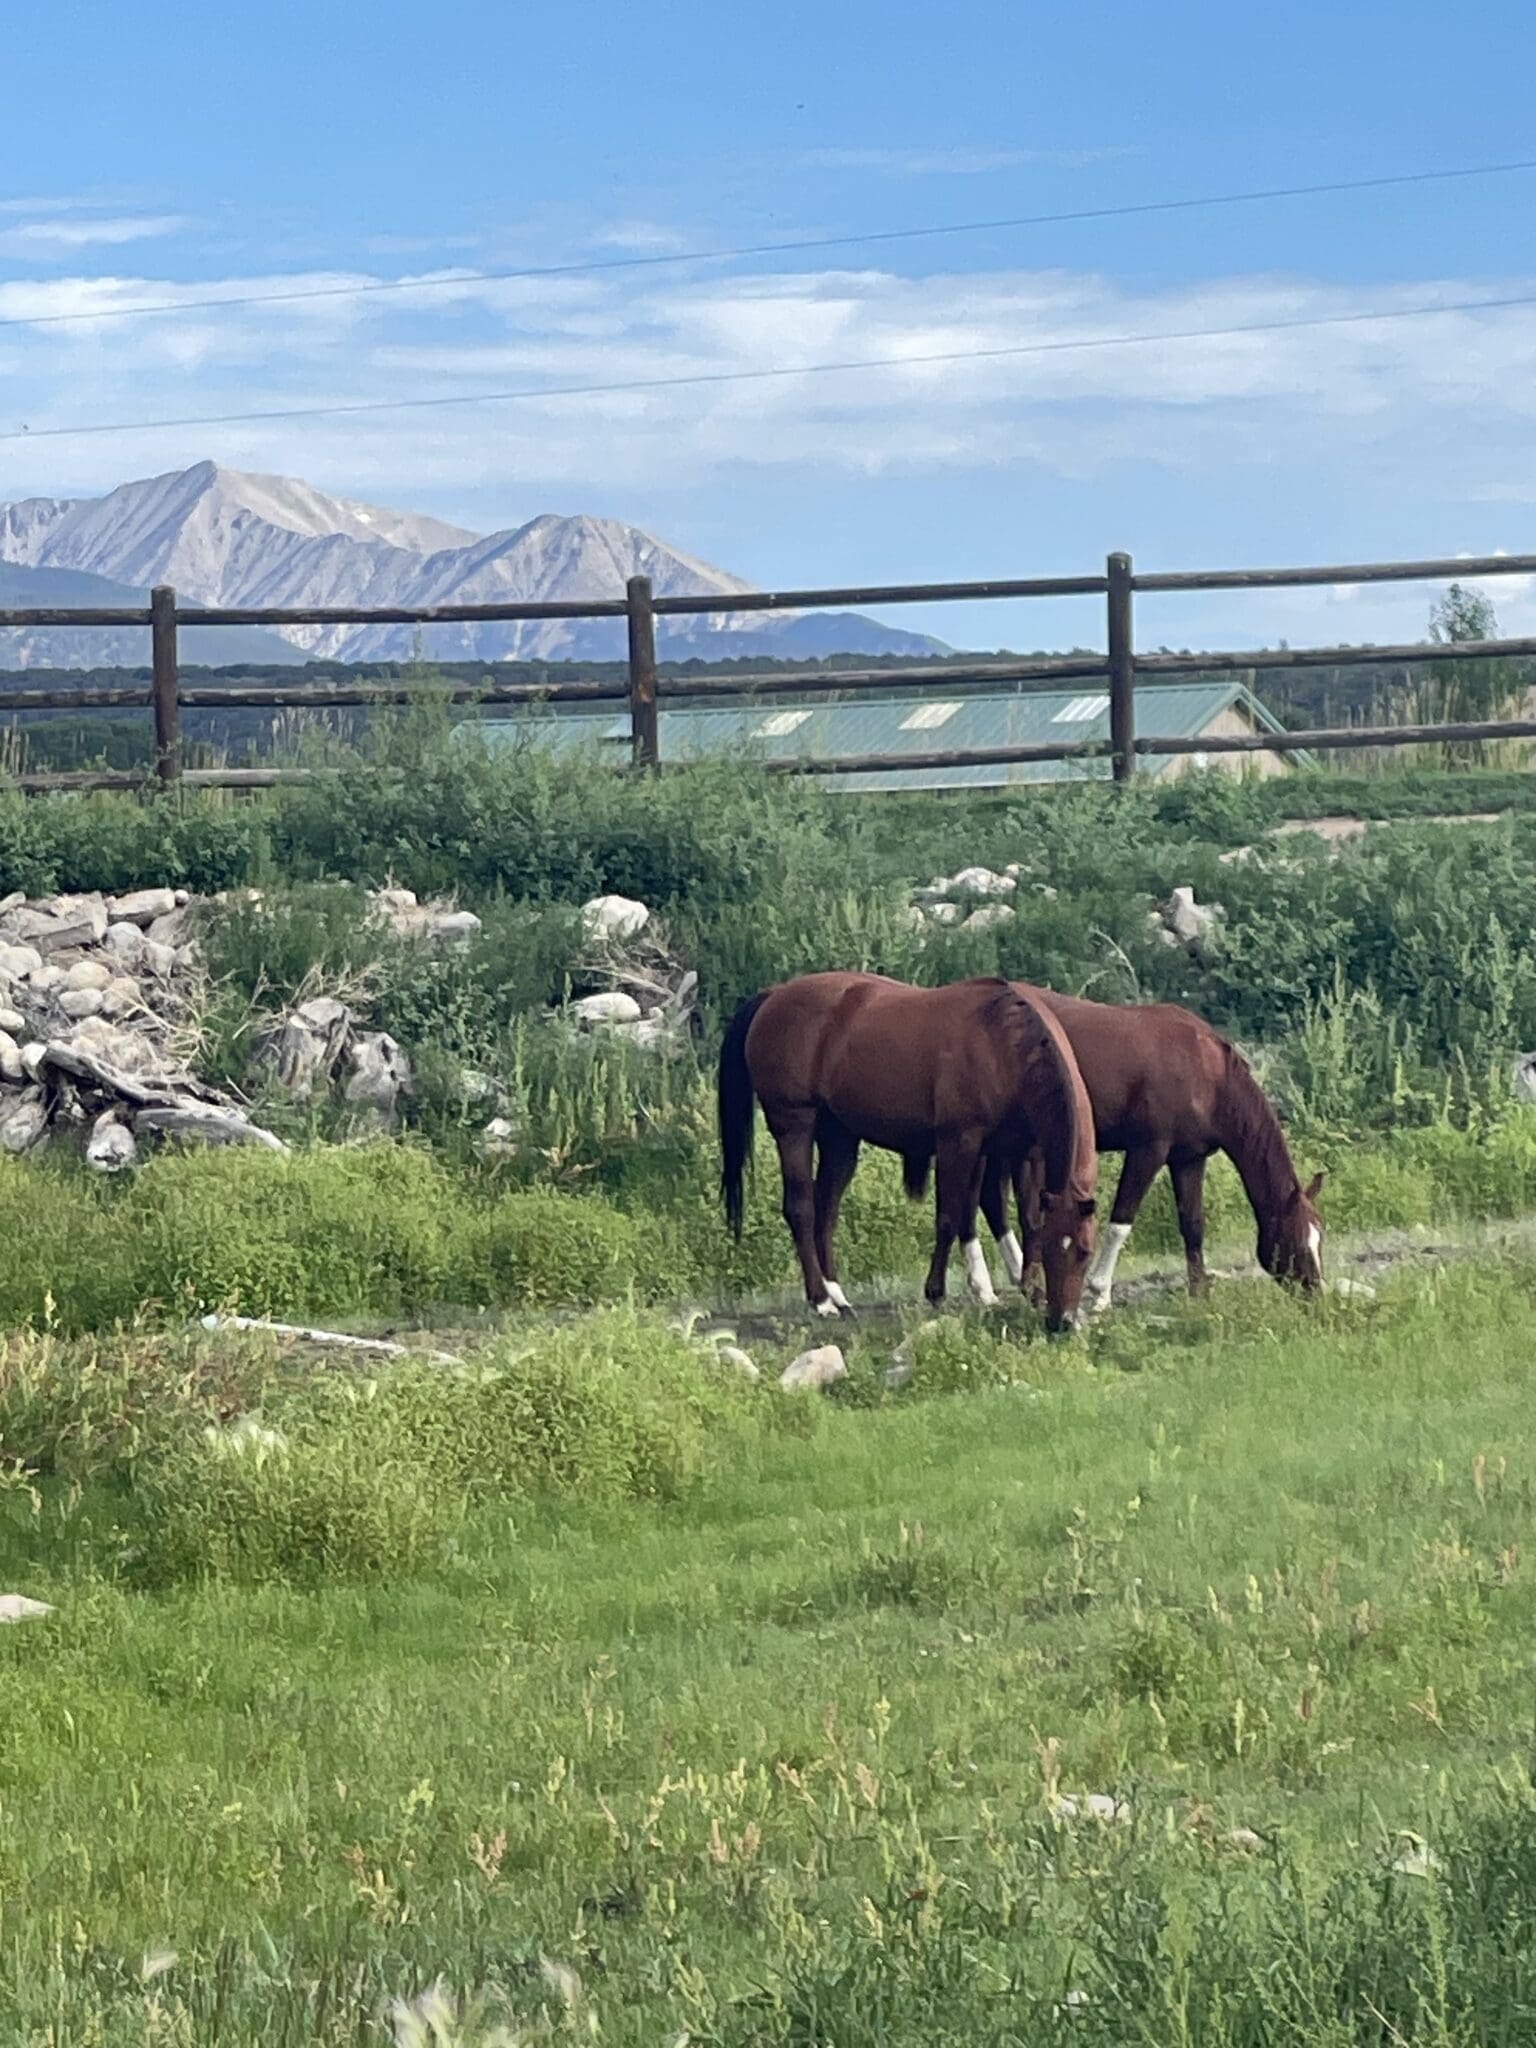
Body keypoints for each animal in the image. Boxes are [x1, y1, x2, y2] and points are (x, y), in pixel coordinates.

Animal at [718, 973, 1099, 1332]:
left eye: (1084, 1251)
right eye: (1055, 1251)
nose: (1062, 1321)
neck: (1002, 1045)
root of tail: (774, 994)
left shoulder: (1018, 1151)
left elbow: (1023, 1218)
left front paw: (1022, 1290)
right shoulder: (958, 1142)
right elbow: (949, 1217)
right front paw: (937, 1292)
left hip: (839, 1138)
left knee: (826, 1211)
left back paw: (837, 1294)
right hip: (794, 1126)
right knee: (801, 1209)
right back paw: (820, 1300)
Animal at [976, 991, 1325, 1315]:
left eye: (1319, 1238)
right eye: (1298, 1244)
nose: (1317, 1295)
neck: (1205, 1069)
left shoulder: (1189, 1158)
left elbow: (1192, 1224)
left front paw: (1198, 1291)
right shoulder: (1148, 1150)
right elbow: (1121, 1220)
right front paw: (1100, 1293)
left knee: (994, 1202)